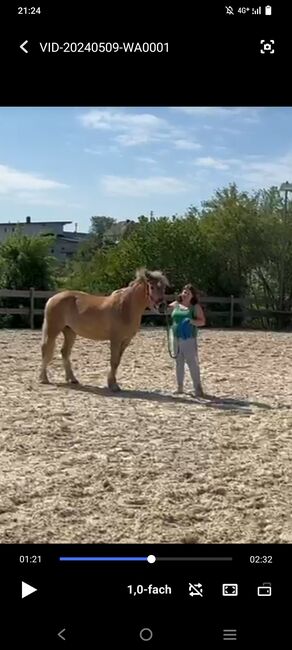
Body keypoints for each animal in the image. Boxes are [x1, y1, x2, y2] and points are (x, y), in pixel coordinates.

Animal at [39, 268, 168, 390]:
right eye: (151, 287)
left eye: (163, 288)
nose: (162, 307)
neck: (125, 308)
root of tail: (52, 298)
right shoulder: (115, 340)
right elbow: (114, 361)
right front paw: (113, 386)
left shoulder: (126, 340)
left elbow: (118, 361)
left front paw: (113, 383)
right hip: (53, 330)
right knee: (46, 349)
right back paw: (44, 379)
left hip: (70, 332)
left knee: (64, 352)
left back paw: (72, 379)